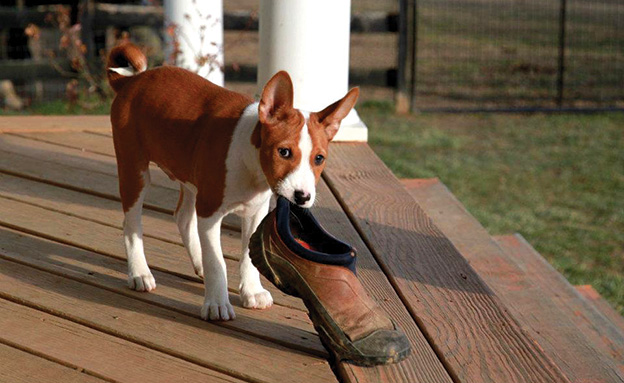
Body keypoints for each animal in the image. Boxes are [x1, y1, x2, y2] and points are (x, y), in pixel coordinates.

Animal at [107, 43, 360, 322]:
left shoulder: (255, 212)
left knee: (182, 217)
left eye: (319, 158)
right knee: (131, 225)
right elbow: (217, 262)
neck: (252, 167)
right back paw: (139, 272)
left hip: (190, 177)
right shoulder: (209, 212)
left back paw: (198, 262)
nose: (302, 197)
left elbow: (248, 257)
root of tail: (133, 81)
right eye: (284, 152)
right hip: (135, 170)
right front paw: (217, 303)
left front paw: (252, 291)